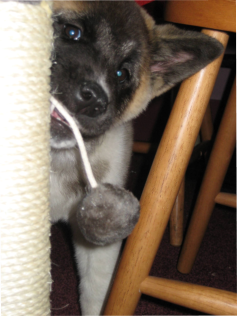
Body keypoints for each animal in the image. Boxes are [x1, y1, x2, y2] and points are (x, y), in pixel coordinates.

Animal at [49, 1, 223, 314]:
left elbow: (96, 293)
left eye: (122, 74)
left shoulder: (98, 248)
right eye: (72, 32)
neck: (60, 159)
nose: (95, 100)